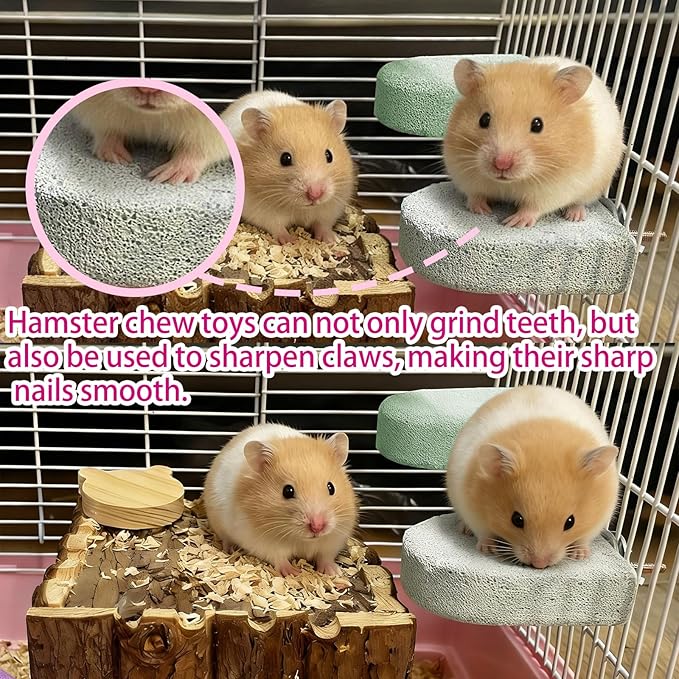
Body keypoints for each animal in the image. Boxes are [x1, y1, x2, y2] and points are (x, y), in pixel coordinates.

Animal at [72, 87, 229, 184]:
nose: (147, 89)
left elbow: (199, 147)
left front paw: (164, 177)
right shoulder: (96, 113)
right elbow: (107, 133)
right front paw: (120, 159)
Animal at [204, 423, 358, 577]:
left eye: (331, 487)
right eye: (287, 491)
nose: (317, 527)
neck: (301, 539)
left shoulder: (334, 540)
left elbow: (325, 557)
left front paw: (334, 572)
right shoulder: (262, 542)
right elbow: (279, 558)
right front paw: (293, 573)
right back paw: (229, 549)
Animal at [220, 90, 356, 244]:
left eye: (329, 155)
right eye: (285, 158)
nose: (315, 194)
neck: (299, 207)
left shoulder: (331, 208)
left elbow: (323, 225)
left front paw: (331, 240)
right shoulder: (260, 210)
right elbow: (277, 227)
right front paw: (290, 241)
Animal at [444, 57, 624, 227]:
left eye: (538, 125)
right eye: (484, 119)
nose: (502, 164)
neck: (511, 182)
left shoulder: (555, 189)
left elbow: (533, 208)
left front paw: (513, 222)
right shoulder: (464, 175)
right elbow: (475, 195)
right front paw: (481, 211)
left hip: (594, 187)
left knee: (579, 202)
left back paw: (574, 216)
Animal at [446, 385, 619, 568]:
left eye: (570, 522)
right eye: (516, 519)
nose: (539, 565)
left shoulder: (600, 518)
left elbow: (584, 537)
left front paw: (580, 555)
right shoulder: (472, 510)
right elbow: (484, 532)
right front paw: (488, 549)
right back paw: (465, 530)